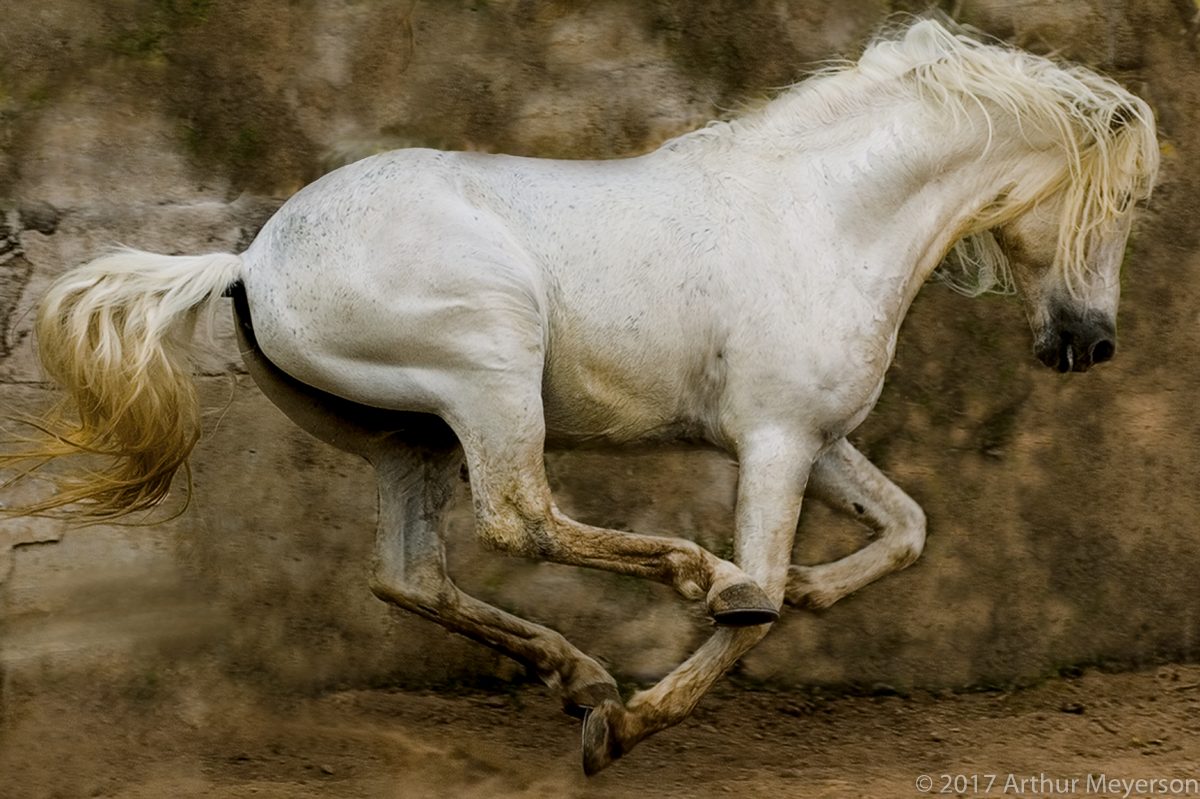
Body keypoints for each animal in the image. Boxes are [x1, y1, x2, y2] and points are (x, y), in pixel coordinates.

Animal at [2, 20, 1161, 772]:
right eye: (1123, 201)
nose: (1089, 344)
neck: (821, 216)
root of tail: (248, 258)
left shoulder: (821, 438)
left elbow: (908, 530)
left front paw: (807, 591)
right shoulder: (776, 439)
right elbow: (763, 606)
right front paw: (650, 711)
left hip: (408, 434)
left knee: (409, 576)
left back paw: (584, 676)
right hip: (489, 375)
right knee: (524, 520)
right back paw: (673, 609)